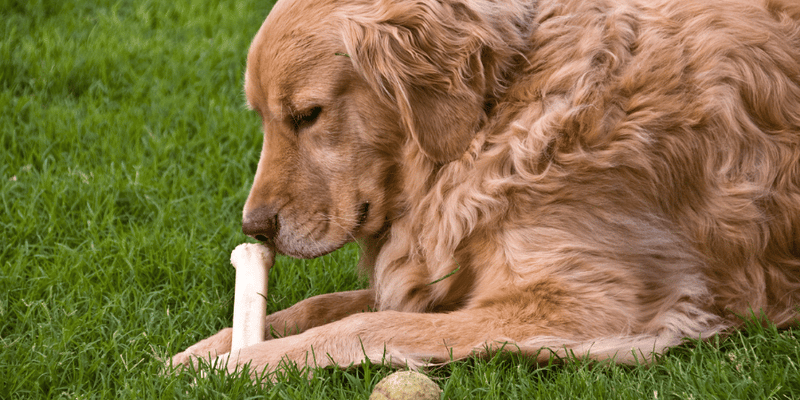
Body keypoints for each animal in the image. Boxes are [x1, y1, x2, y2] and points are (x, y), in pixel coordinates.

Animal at [170, 0, 800, 376]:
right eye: (261, 117)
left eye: (307, 115)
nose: (254, 228)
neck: (497, 118)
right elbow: (318, 305)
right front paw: (213, 346)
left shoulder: (600, 305)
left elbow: (363, 324)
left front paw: (243, 362)